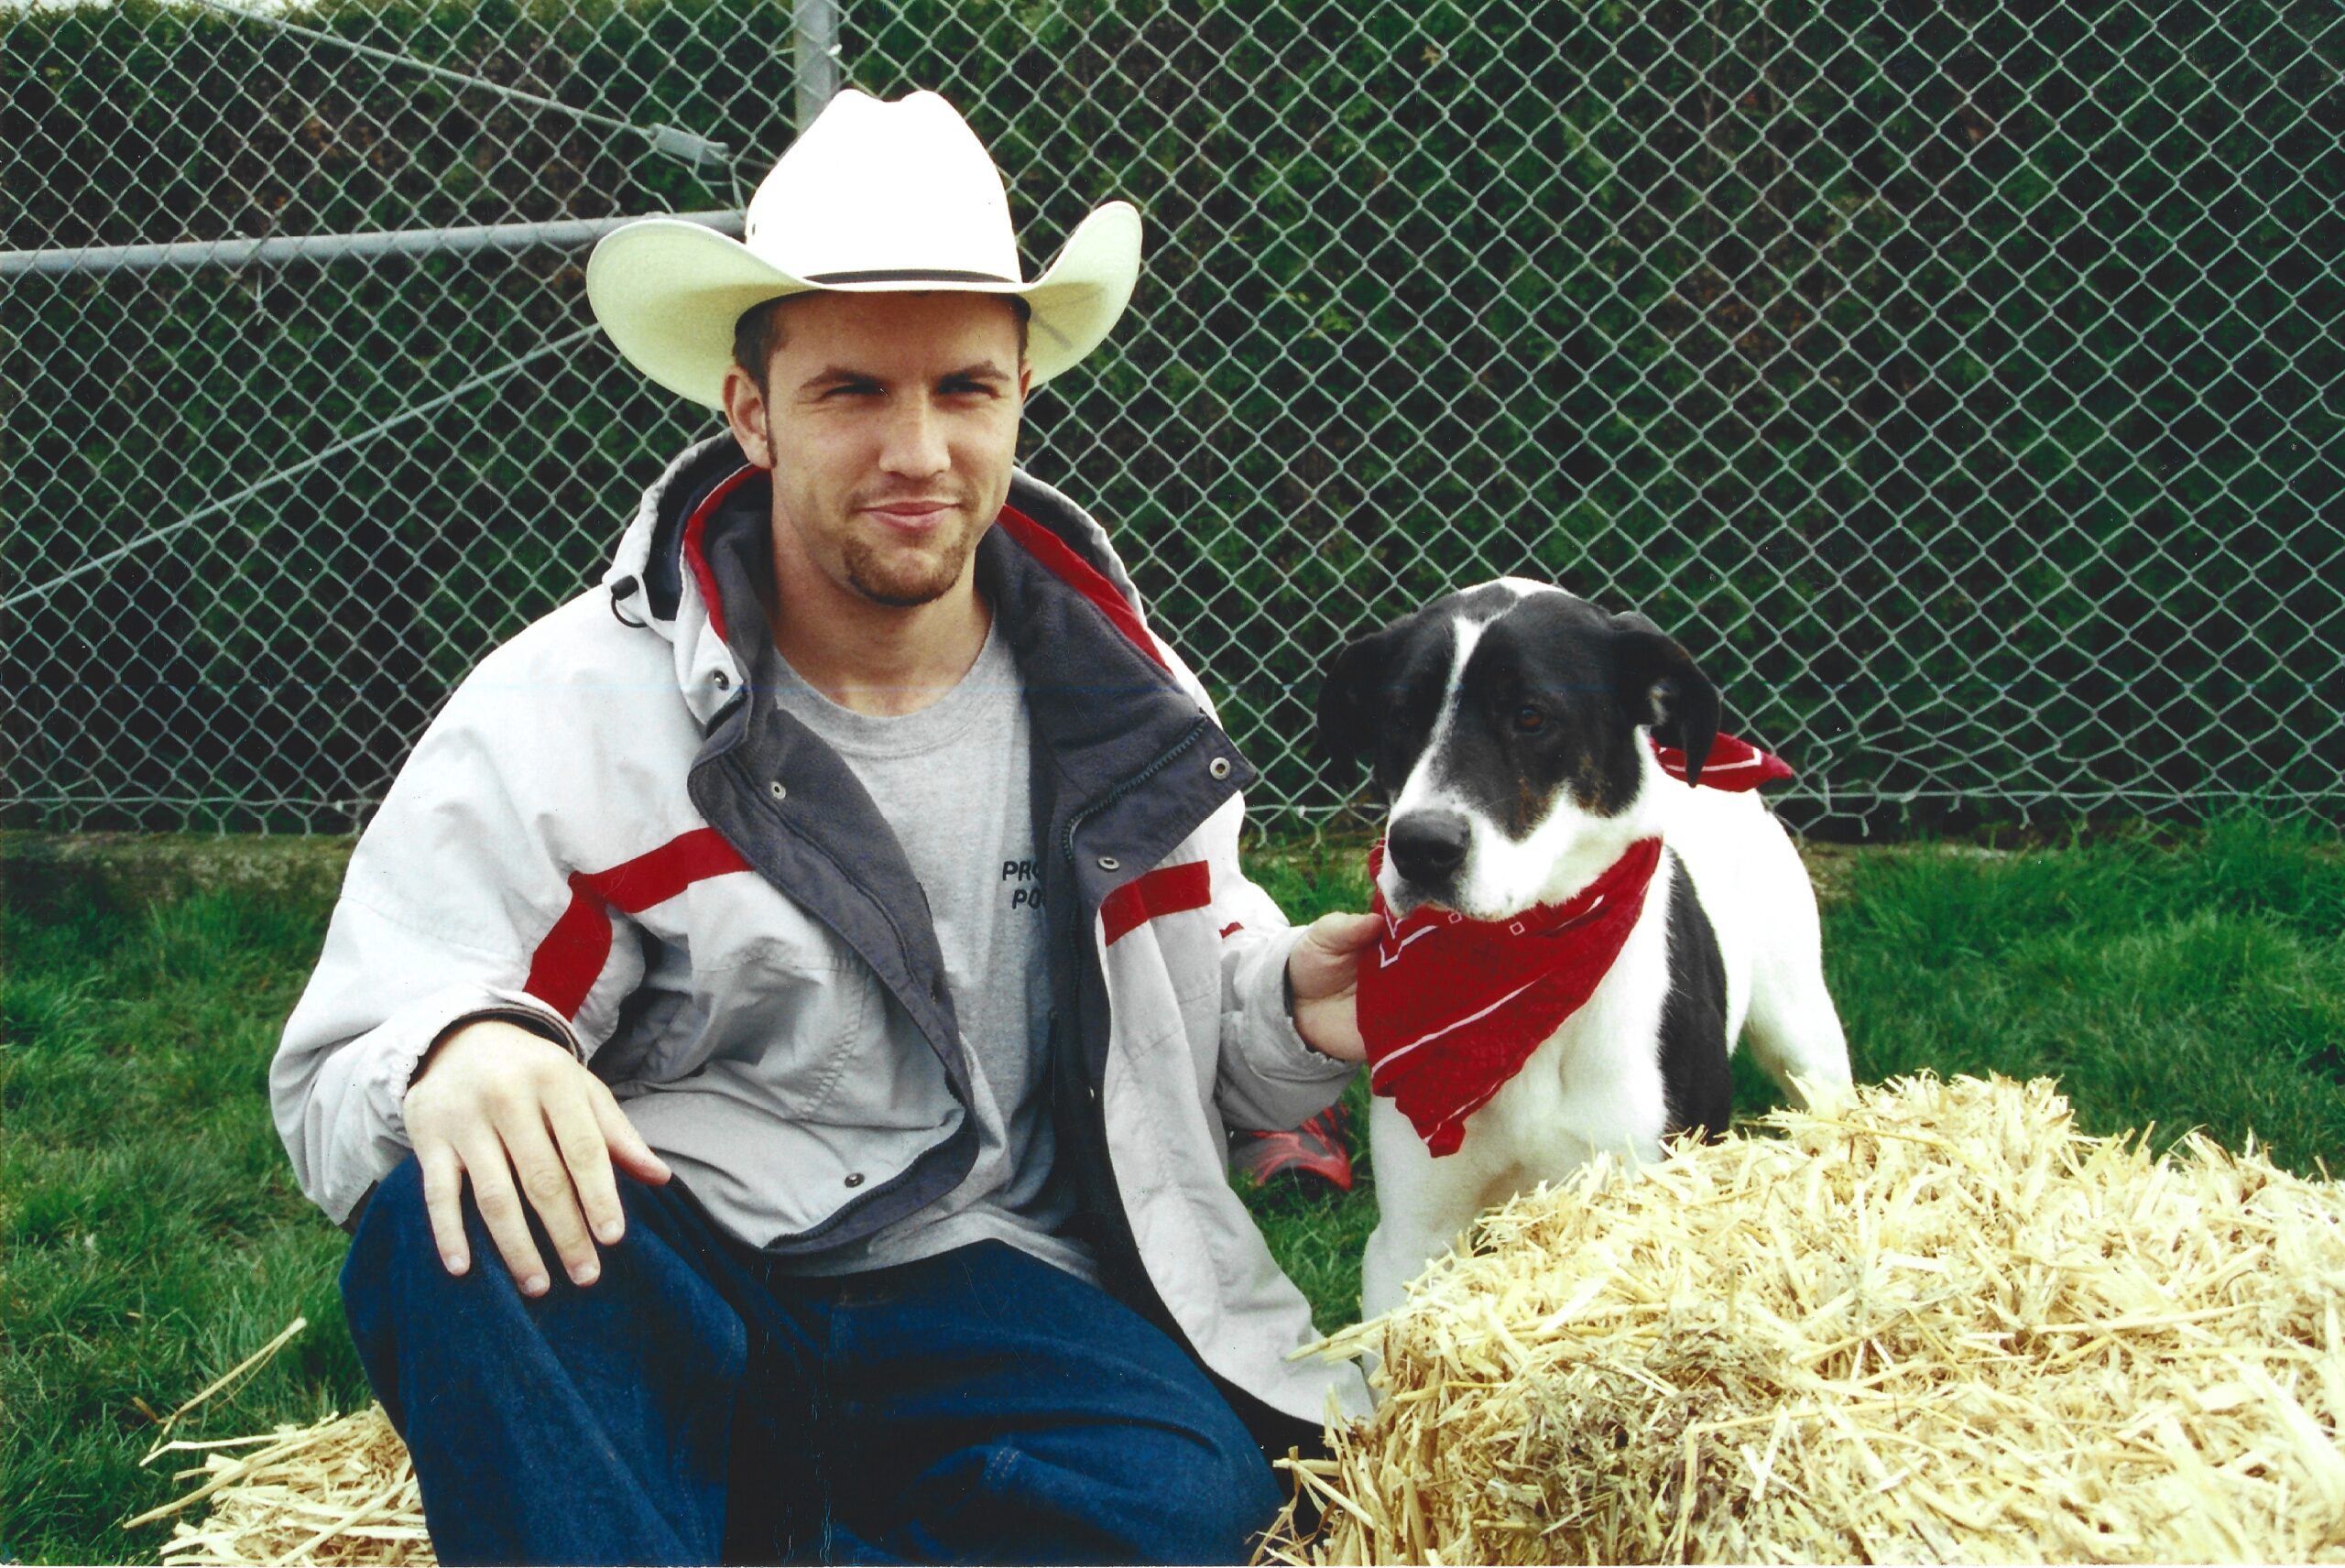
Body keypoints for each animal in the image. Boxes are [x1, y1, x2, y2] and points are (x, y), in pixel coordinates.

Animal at [1322, 572, 1848, 1312]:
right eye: (1400, 715)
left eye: (1531, 715)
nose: (1422, 848)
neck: (1527, 973)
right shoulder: (1409, 1242)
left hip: (1806, 1035)